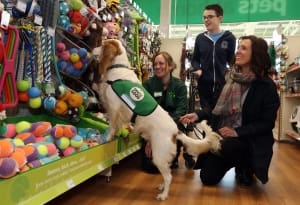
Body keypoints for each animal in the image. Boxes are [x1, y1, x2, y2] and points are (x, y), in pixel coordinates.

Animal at [92, 38, 220, 200]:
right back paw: (162, 187)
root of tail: (175, 131)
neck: (118, 66)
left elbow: (112, 126)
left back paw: (164, 195)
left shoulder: (114, 108)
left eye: (102, 45)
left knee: (169, 176)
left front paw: (107, 137)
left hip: (158, 155)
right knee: (167, 173)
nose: (92, 49)